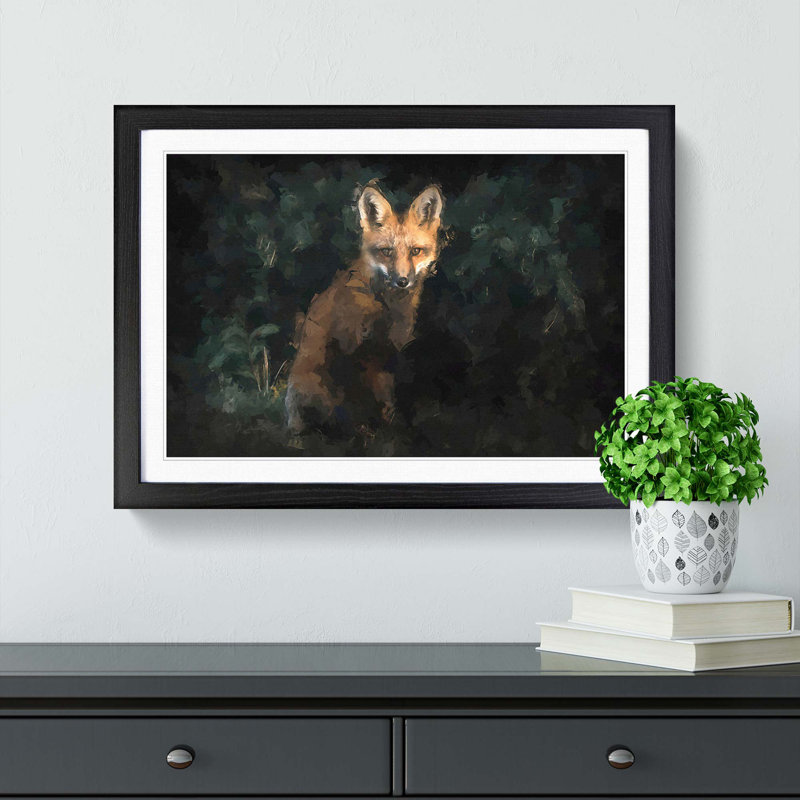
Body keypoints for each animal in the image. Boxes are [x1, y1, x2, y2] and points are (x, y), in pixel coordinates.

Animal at [285, 181, 445, 436]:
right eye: (387, 251)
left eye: (415, 251)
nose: (402, 281)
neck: (385, 307)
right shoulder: (352, 347)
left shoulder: (390, 351)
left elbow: (387, 398)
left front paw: (390, 428)